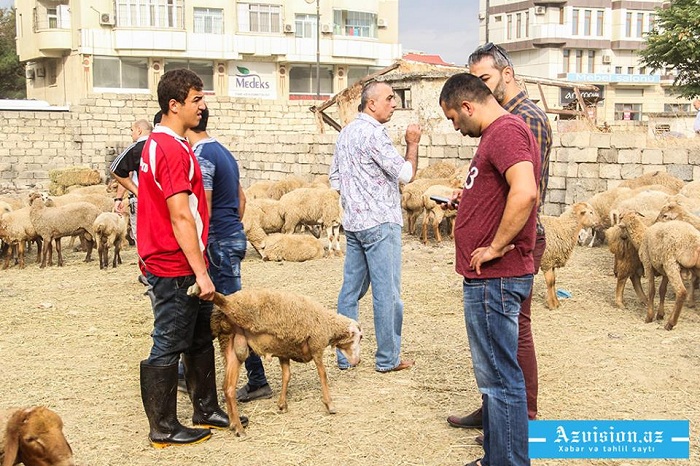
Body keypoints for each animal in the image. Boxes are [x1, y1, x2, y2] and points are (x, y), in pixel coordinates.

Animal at [193, 284, 366, 436]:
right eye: (360, 337)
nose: (357, 362)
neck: (328, 324)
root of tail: (220, 314)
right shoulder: (316, 346)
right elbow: (323, 375)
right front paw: (329, 405)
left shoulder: (284, 353)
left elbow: (286, 376)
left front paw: (282, 404)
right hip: (243, 310)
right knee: (226, 302)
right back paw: (200, 290)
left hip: (232, 344)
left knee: (228, 387)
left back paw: (236, 426)